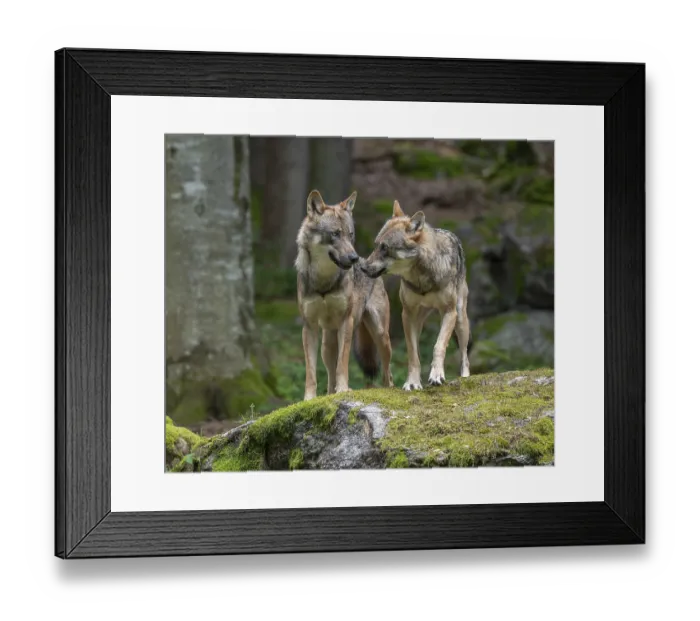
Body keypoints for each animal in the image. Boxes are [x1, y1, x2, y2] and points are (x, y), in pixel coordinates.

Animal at [295, 190, 393, 400]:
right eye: (335, 234)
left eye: (350, 234)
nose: (354, 258)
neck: (324, 281)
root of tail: (368, 262)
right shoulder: (309, 327)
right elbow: (310, 371)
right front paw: (309, 398)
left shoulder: (345, 322)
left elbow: (343, 363)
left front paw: (343, 389)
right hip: (326, 346)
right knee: (329, 377)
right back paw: (329, 394)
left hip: (381, 335)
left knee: (387, 372)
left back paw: (389, 388)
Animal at [361, 200, 470, 391]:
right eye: (376, 245)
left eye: (385, 248)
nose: (362, 267)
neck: (422, 278)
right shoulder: (407, 314)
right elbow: (412, 355)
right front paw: (412, 382)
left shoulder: (449, 312)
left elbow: (439, 345)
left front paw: (437, 375)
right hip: (417, 322)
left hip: (461, 319)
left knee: (464, 355)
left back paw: (465, 377)